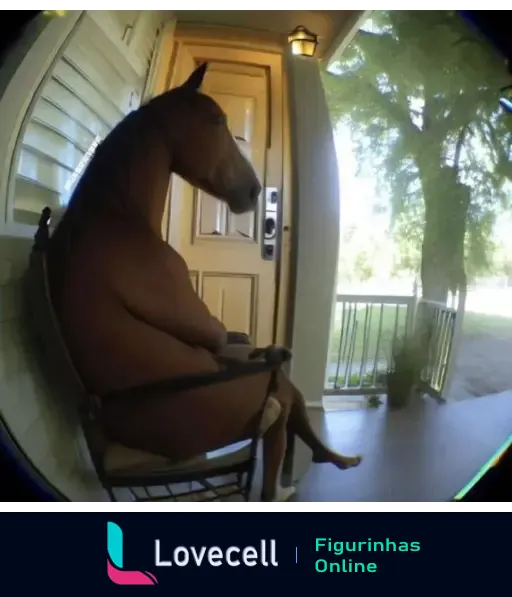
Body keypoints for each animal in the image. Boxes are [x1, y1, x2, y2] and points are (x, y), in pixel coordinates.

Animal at [47, 61, 360, 502]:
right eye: (217, 120)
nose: (255, 189)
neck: (115, 215)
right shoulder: (202, 318)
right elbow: (218, 334)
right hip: (258, 400)